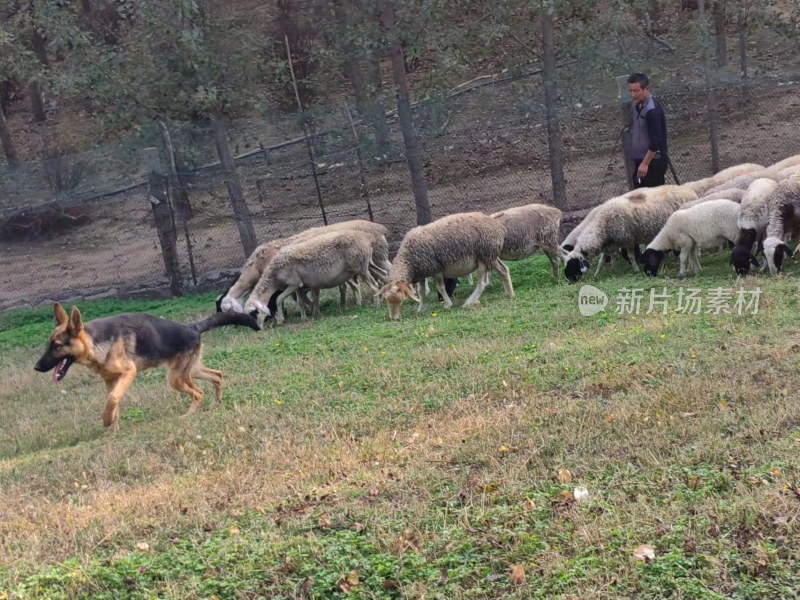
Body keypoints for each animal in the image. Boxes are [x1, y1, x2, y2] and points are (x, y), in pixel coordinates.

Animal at [35, 304, 260, 432]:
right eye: (49, 344)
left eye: (57, 346)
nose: (36, 367)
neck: (94, 343)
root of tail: (191, 327)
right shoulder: (110, 380)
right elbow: (114, 402)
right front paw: (114, 428)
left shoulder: (128, 373)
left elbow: (113, 398)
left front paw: (107, 421)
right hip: (190, 371)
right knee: (217, 375)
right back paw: (216, 403)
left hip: (176, 378)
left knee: (198, 392)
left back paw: (188, 415)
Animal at [244, 230, 382, 326]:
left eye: (254, 313)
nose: (259, 328)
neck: (274, 276)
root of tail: (366, 237)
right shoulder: (300, 286)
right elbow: (301, 301)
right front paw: (306, 317)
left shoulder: (294, 283)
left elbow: (278, 299)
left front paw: (280, 320)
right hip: (367, 264)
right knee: (380, 277)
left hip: (361, 267)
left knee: (374, 285)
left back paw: (376, 304)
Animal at [376, 213, 512, 322]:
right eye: (386, 300)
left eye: (401, 300)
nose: (394, 319)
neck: (408, 259)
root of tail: (499, 227)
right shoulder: (422, 271)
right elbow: (421, 292)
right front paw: (421, 308)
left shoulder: (435, 268)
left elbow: (440, 287)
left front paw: (447, 304)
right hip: (491, 256)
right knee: (504, 270)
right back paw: (509, 294)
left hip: (484, 255)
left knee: (482, 282)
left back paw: (469, 302)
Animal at [560, 185, 696, 284]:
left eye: (573, 264)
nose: (569, 281)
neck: (603, 223)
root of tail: (689, 190)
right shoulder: (609, 245)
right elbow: (602, 261)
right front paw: (597, 274)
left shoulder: (628, 239)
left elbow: (630, 256)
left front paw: (636, 269)